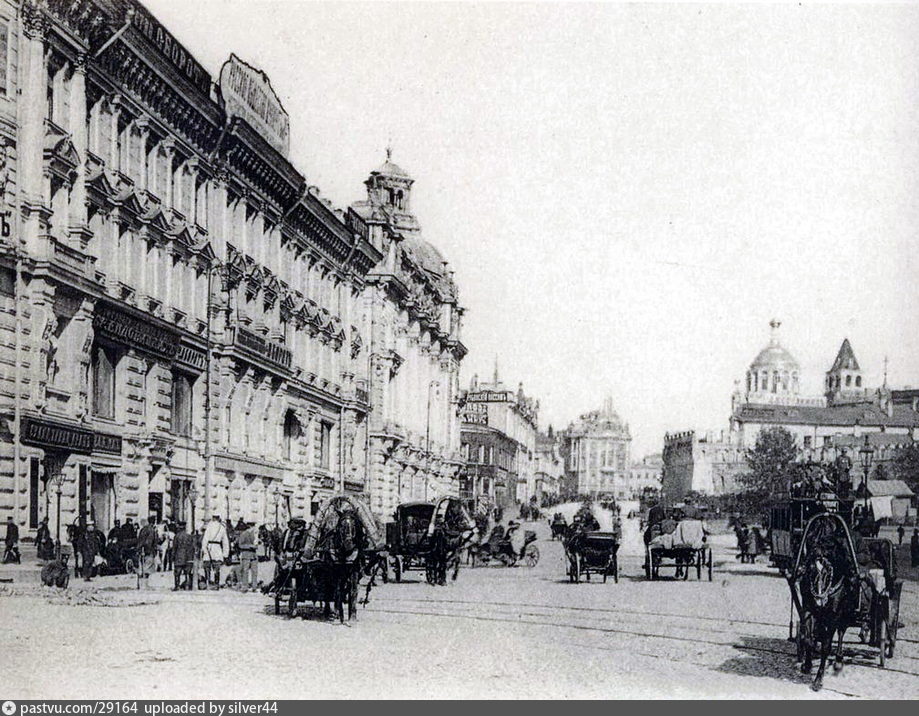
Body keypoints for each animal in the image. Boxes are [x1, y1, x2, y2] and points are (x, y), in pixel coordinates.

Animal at [796, 516, 864, 692]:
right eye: (811, 571)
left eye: (828, 573)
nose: (820, 599)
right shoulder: (808, 608)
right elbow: (808, 638)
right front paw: (807, 665)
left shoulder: (834, 615)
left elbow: (826, 646)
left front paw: (818, 680)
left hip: (845, 612)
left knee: (841, 631)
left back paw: (838, 662)